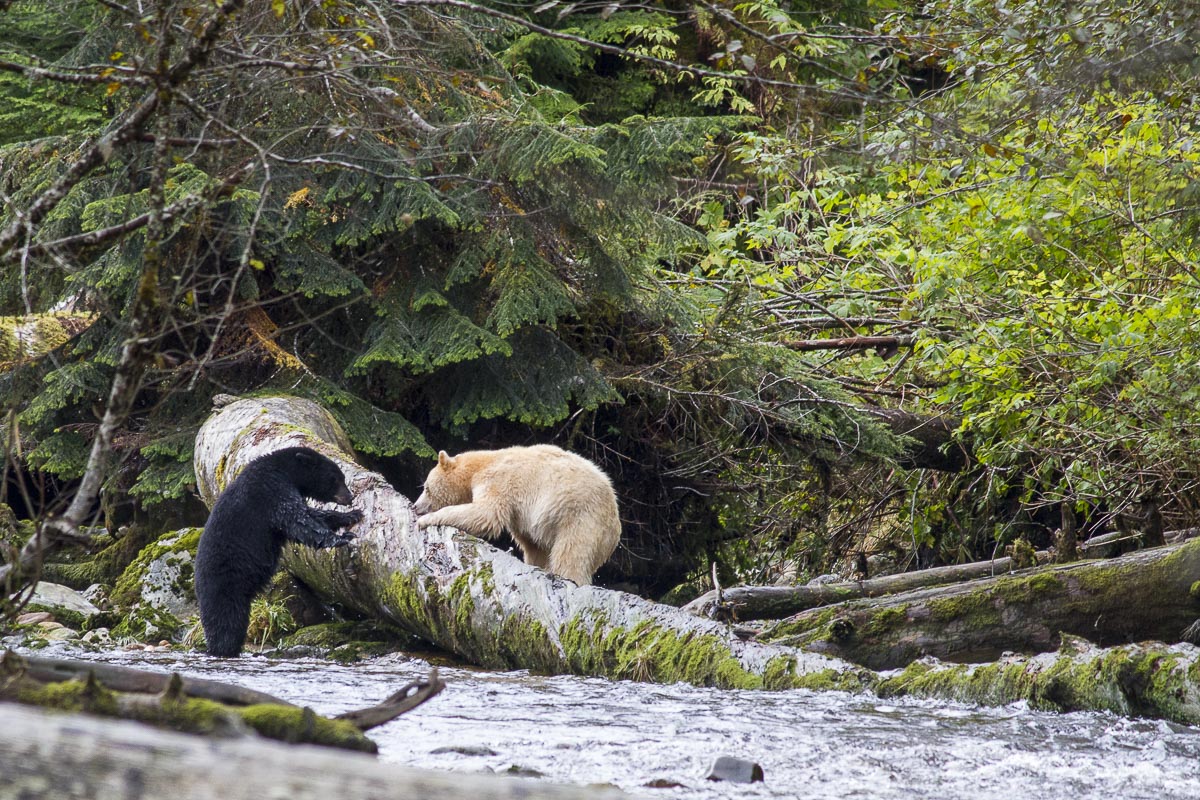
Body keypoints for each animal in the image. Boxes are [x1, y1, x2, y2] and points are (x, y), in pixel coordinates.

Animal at [195, 446, 362, 657]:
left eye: (342, 477)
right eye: (335, 479)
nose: (350, 497)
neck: (285, 471)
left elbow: (307, 515)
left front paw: (349, 516)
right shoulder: (271, 490)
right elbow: (298, 518)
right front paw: (343, 534)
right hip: (225, 584)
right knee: (227, 621)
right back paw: (224, 649)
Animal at [413, 444, 620, 585]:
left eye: (426, 488)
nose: (416, 506)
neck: (480, 466)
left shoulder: (498, 481)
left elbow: (485, 513)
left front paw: (425, 520)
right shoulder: (521, 516)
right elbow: (533, 546)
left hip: (581, 519)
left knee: (571, 556)